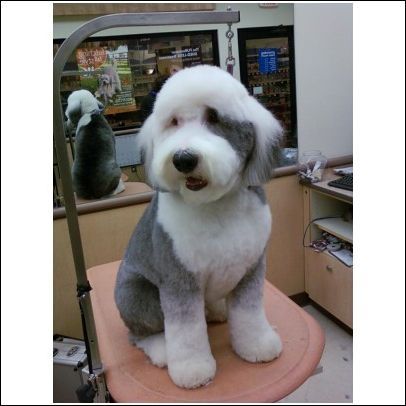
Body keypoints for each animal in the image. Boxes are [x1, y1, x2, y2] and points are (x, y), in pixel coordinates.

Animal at [115, 65, 282, 388]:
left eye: (214, 117)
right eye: (173, 122)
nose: (183, 158)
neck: (216, 206)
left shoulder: (252, 268)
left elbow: (249, 312)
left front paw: (257, 346)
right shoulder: (179, 280)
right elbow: (186, 330)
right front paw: (192, 371)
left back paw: (216, 311)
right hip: (136, 294)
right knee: (138, 334)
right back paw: (162, 350)